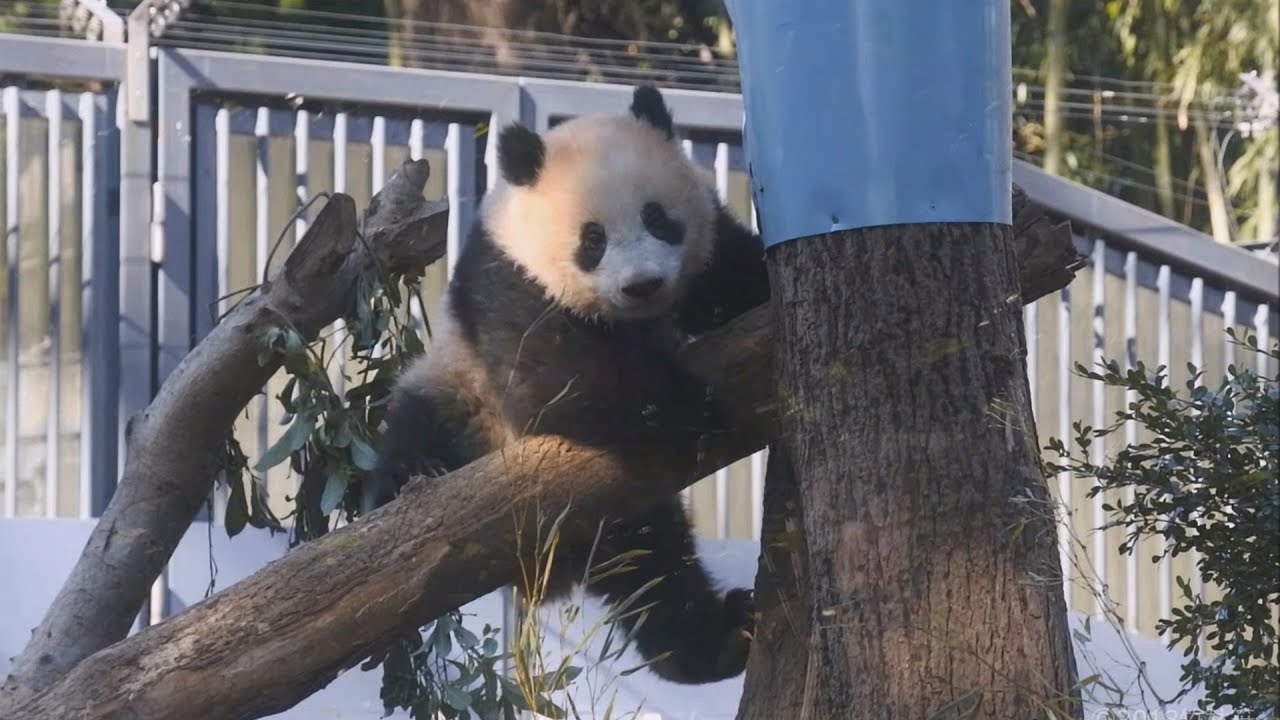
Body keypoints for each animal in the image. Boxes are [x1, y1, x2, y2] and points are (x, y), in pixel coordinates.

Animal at [366, 85, 771, 684]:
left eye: (658, 218)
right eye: (592, 239)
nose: (643, 284)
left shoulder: (712, 248)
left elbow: (743, 277)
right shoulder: (505, 281)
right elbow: (556, 377)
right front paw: (691, 410)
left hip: (625, 511)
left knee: (655, 572)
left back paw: (720, 640)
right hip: (459, 394)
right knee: (414, 425)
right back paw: (414, 473)